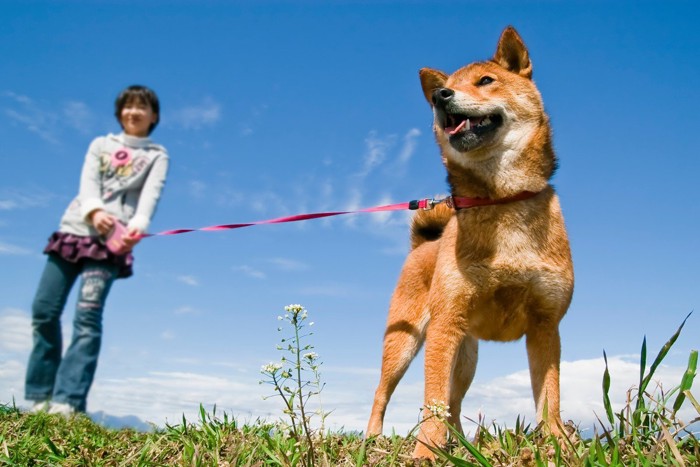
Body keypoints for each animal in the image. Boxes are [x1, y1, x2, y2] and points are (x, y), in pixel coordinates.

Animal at [366, 26, 576, 460]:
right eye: (443, 88)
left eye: (486, 80)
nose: (439, 96)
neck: (501, 199)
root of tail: (422, 247)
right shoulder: (445, 325)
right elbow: (431, 401)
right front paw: (426, 454)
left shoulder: (546, 325)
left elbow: (550, 397)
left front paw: (557, 444)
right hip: (406, 342)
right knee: (384, 393)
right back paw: (374, 438)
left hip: (466, 354)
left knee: (455, 400)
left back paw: (460, 443)